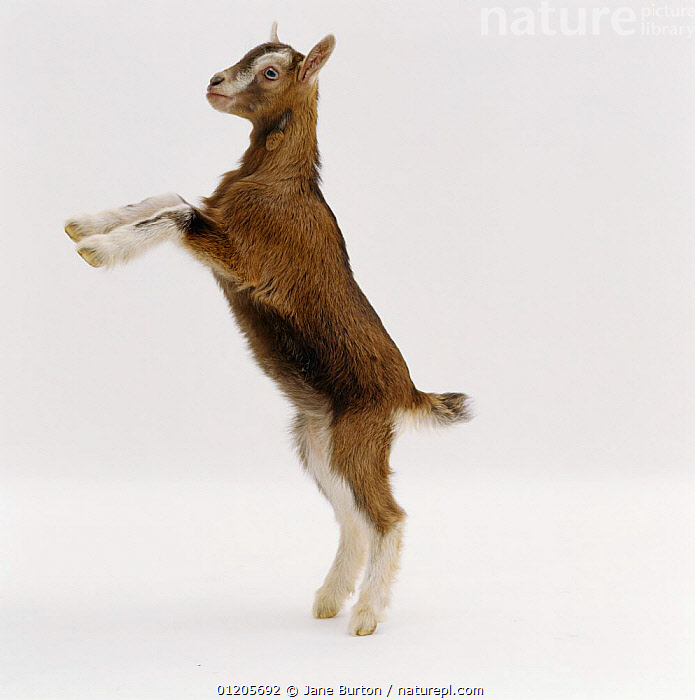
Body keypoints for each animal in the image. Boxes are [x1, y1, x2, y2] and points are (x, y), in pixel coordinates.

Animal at [64, 24, 473, 636]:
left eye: (271, 72)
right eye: (246, 54)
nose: (213, 82)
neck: (277, 177)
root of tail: (408, 393)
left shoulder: (245, 257)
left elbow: (178, 213)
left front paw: (100, 251)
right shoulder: (219, 221)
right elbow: (169, 196)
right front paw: (85, 224)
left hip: (360, 437)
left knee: (388, 517)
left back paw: (366, 616)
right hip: (320, 443)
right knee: (352, 518)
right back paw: (329, 600)